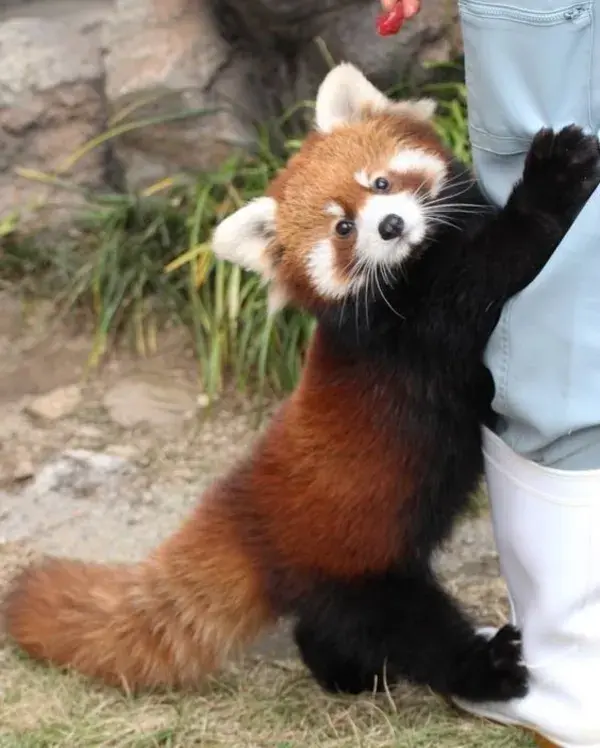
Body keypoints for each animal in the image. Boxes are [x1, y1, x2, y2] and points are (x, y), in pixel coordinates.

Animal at [2, 64, 596, 700]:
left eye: (380, 182)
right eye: (343, 228)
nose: (391, 225)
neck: (420, 261)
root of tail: (246, 514)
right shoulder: (414, 325)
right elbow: (493, 263)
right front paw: (552, 180)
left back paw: (349, 675)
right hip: (355, 568)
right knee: (407, 629)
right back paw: (484, 666)